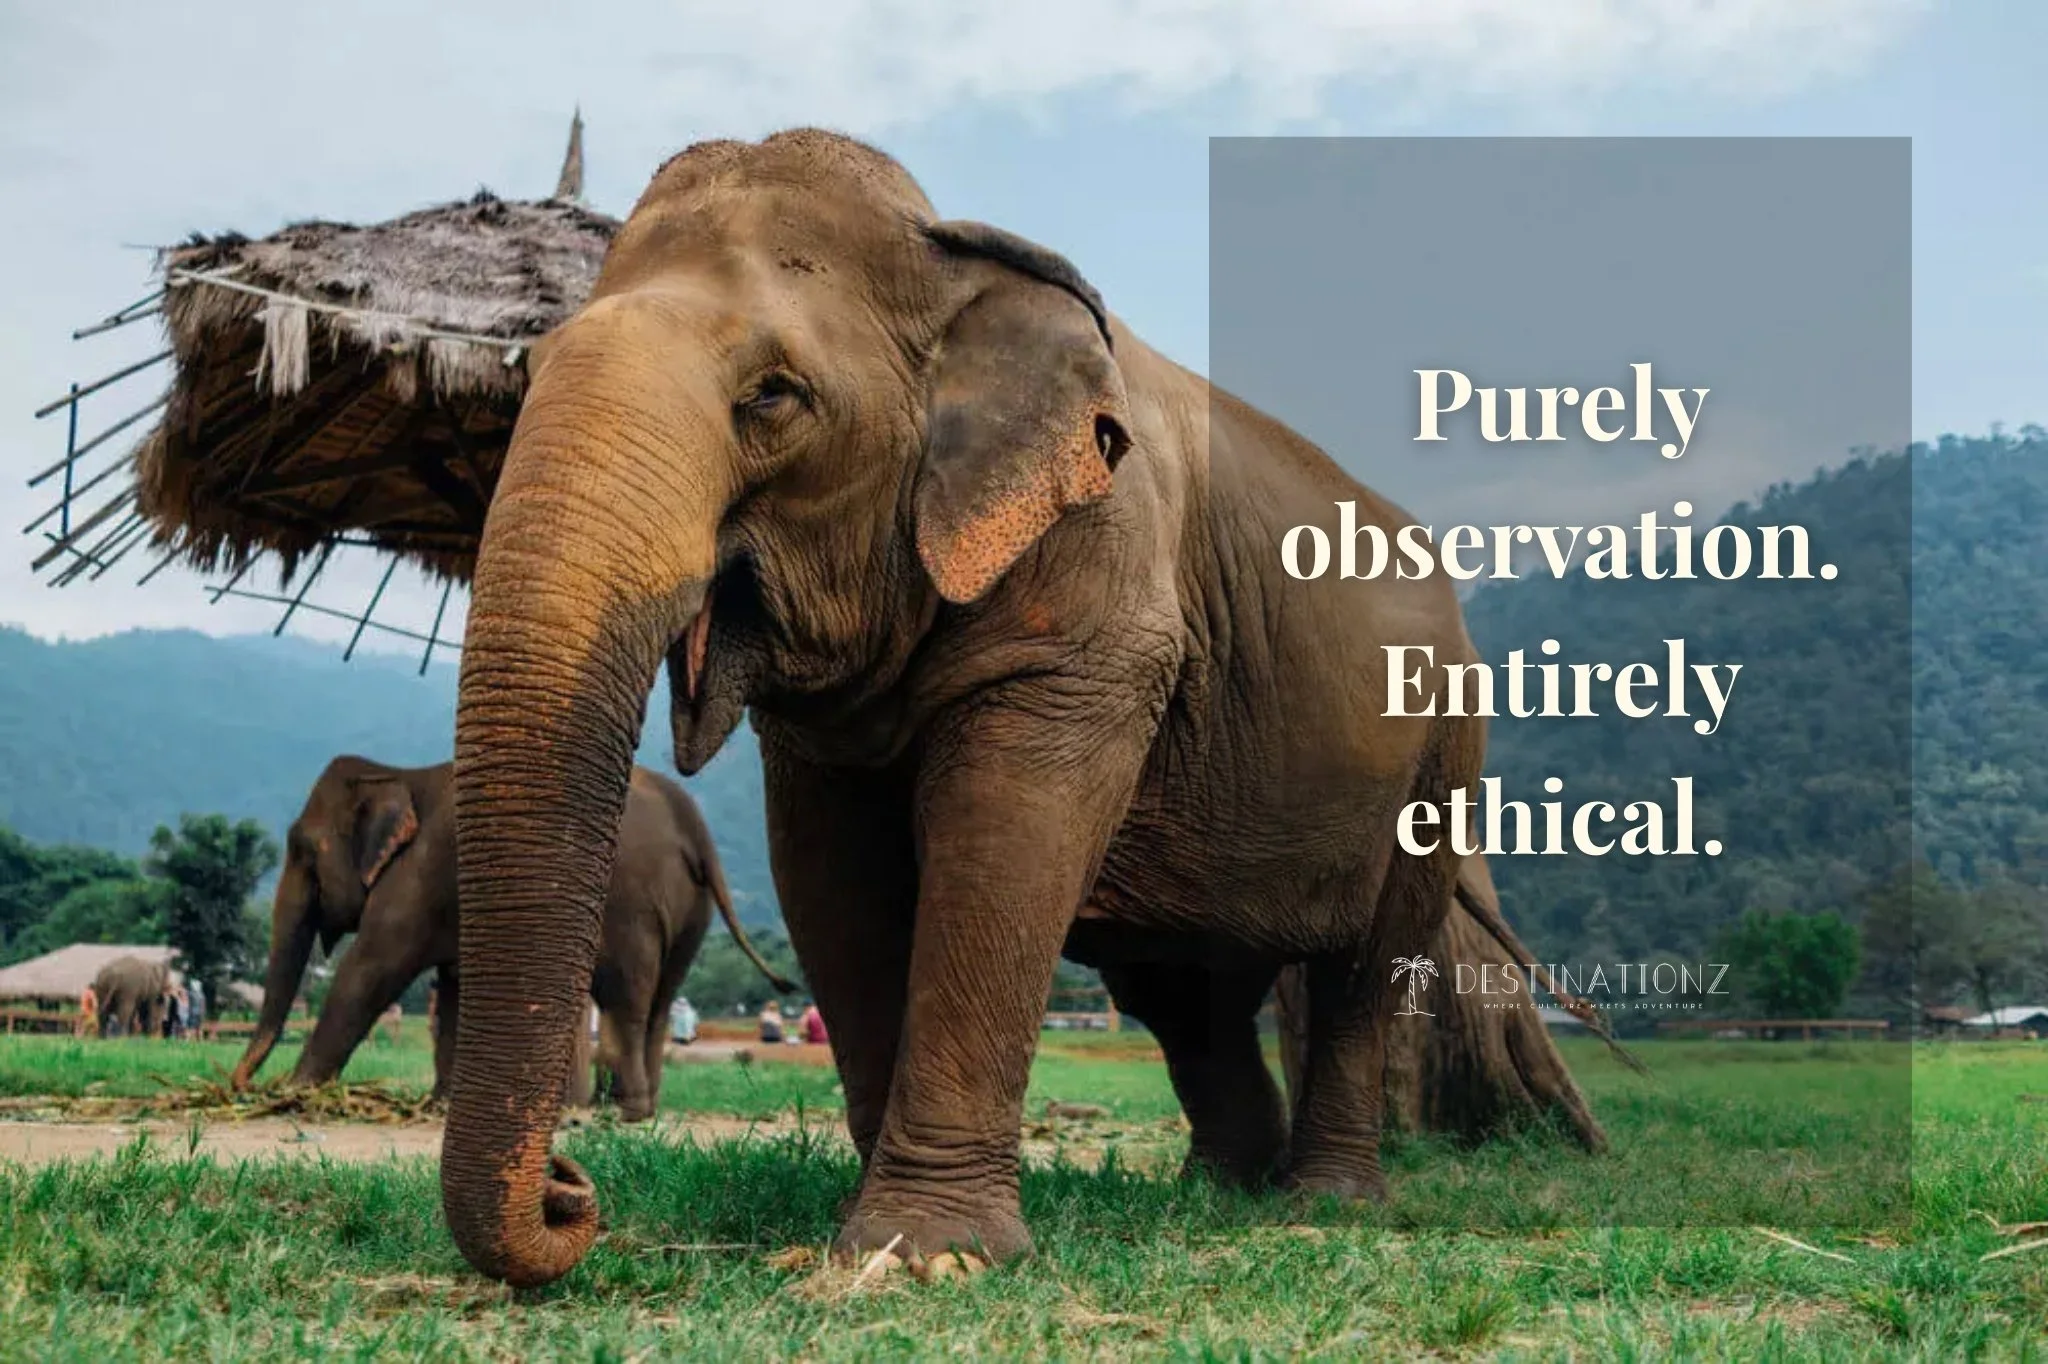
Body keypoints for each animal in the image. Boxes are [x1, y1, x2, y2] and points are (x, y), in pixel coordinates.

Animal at [228, 756, 791, 1121]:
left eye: (302, 850)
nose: (243, 1086)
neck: (399, 774)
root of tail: (693, 826)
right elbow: (452, 991)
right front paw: (439, 1106)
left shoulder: (416, 877)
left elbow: (370, 971)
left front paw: (294, 1094)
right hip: (692, 909)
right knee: (662, 998)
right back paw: (642, 1109)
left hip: (628, 900)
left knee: (622, 996)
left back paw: (618, 1113)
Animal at [438, 129, 1484, 1288]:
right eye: (528, 372)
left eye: (773, 395)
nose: (573, 1187)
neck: (951, 258)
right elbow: (830, 876)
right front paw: (870, 1225)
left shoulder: (1096, 587)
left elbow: (1004, 842)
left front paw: (932, 1251)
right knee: (1181, 992)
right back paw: (1217, 1191)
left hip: (1441, 749)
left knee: (1358, 971)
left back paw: (1325, 1201)